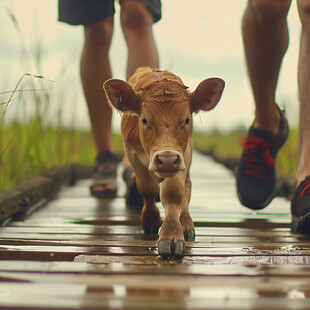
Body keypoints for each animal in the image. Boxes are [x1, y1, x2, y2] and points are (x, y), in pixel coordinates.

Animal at [104, 66, 225, 258]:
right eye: (144, 120)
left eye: (186, 120)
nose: (166, 160)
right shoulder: (132, 154)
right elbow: (147, 189)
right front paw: (151, 220)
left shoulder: (182, 155)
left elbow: (174, 192)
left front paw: (171, 234)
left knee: (187, 186)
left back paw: (186, 223)